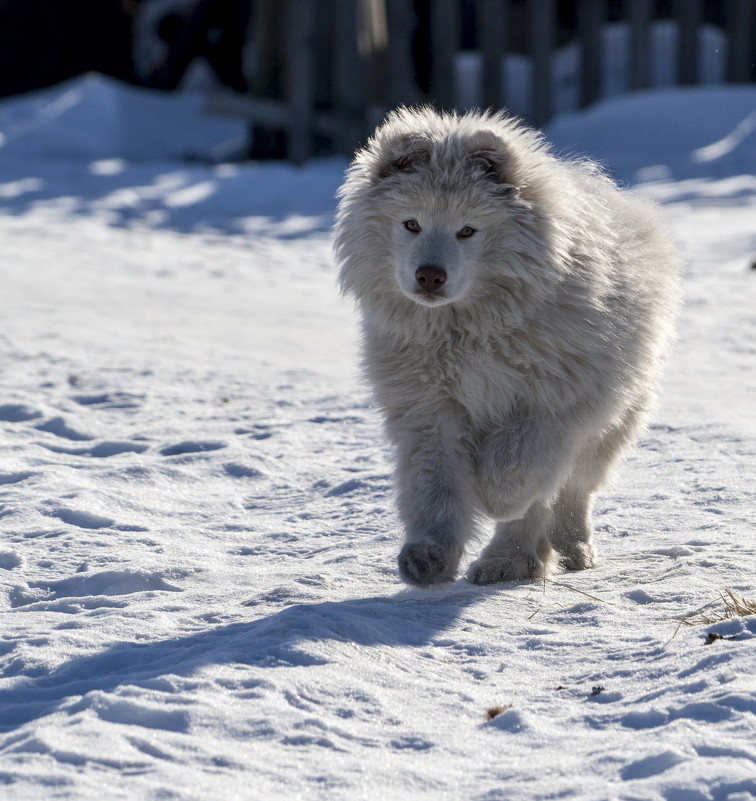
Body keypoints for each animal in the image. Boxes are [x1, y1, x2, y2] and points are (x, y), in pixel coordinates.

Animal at [334, 106, 684, 584]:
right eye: (411, 224)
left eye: (467, 231)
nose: (429, 275)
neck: (469, 330)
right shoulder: (429, 410)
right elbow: (436, 488)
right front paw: (428, 555)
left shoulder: (548, 405)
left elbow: (512, 473)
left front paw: (493, 500)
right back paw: (510, 562)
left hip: (613, 420)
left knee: (572, 490)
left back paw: (548, 552)